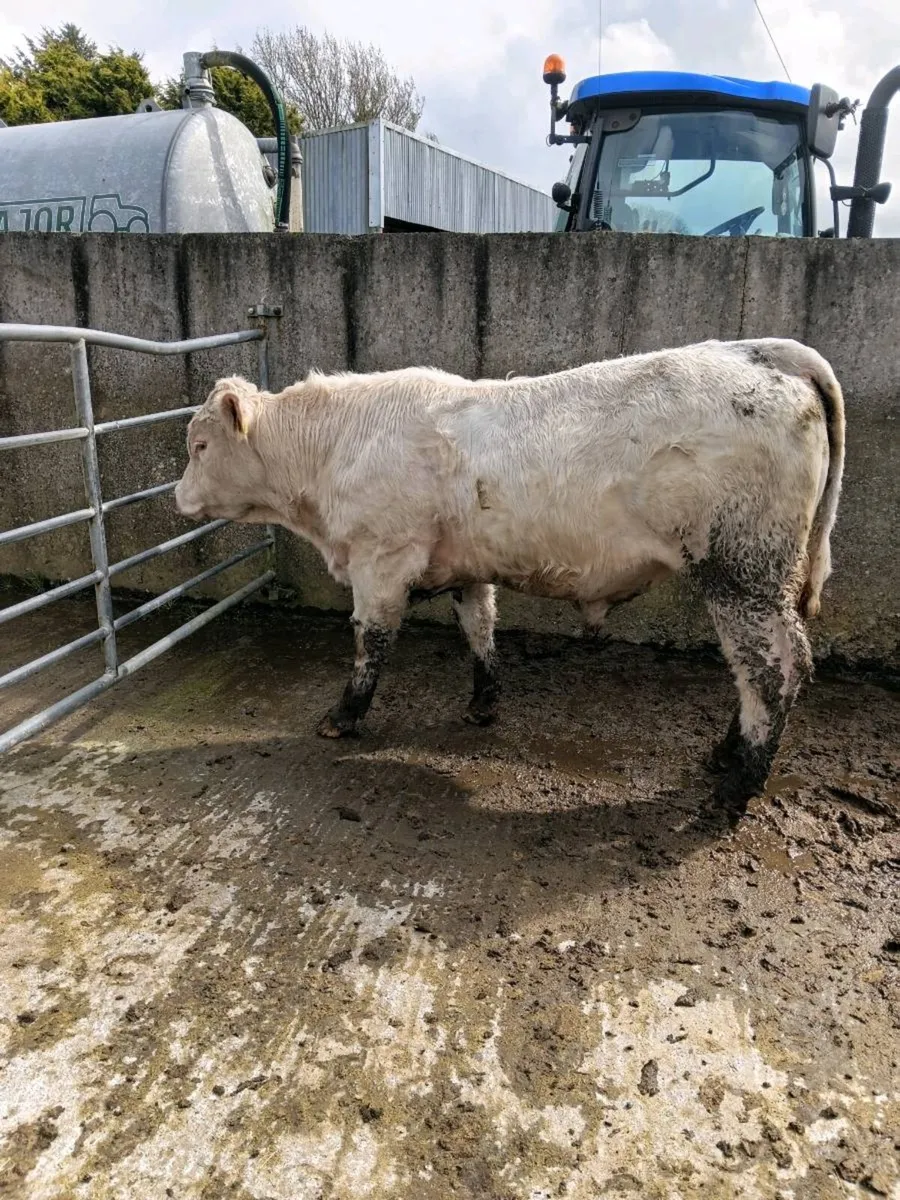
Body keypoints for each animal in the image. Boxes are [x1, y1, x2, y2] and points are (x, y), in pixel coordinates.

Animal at [174, 338, 845, 819]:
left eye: (200, 445)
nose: (177, 497)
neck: (339, 445)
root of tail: (758, 352)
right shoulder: (467, 565)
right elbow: (480, 628)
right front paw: (483, 702)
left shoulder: (380, 559)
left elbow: (371, 642)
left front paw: (344, 716)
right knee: (757, 671)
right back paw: (725, 755)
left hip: (743, 571)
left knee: (774, 670)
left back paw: (736, 787)